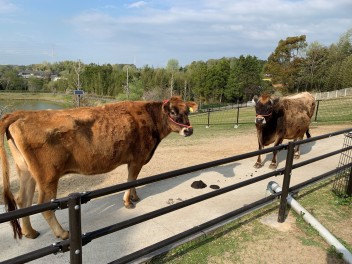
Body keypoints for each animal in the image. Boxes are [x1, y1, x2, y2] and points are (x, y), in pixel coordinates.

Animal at [0, 96, 198, 239]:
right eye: (172, 111)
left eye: (187, 111)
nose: (189, 130)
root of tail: (21, 113)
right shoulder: (137, 159)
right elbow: (131, 180)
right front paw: (128, 201)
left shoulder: (135, 161)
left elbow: (133, 180)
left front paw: (134, 196)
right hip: (48, 176)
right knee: (44, 205)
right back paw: (62, 233)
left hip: (26, 171)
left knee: (23, 200)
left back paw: (30, 232)